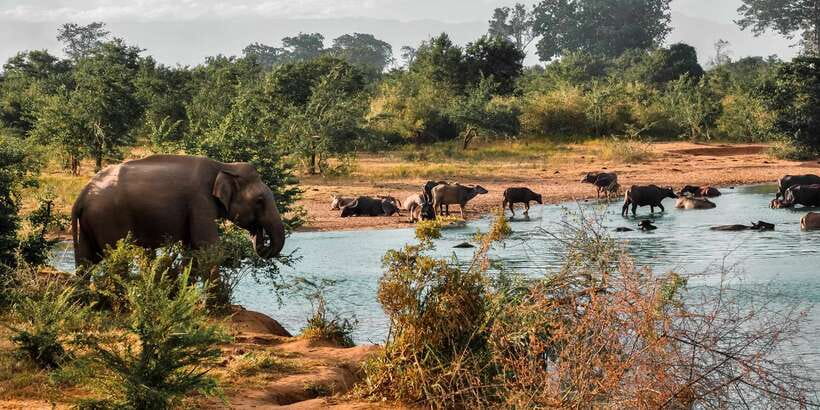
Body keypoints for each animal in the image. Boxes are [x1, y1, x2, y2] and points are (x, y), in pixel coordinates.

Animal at [71, 155, 286, 267]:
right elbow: (207, 246)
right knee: (115, 256)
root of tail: (82, 195)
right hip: (109, 218)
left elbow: (192, 248)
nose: (259, 238)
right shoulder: (200, 201)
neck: (223, 165)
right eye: (259, 201)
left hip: (90, 222)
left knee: (87, 259)